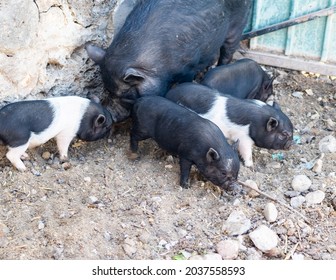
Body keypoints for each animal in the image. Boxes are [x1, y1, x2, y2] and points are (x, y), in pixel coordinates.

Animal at [86, 0, 252, 122]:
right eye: (107, 90)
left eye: (127, 95)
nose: (110, 115)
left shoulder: (189, 67)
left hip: (238, 25)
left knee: (227, 53)